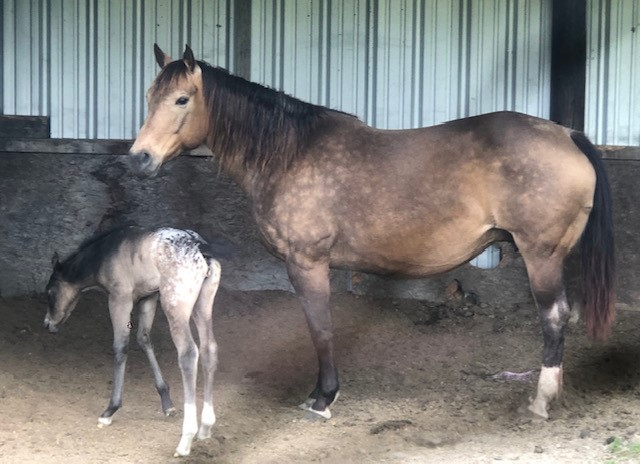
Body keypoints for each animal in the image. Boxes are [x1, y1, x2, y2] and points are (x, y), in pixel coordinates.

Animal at [44, 225, 221, 457]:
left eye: (49, 292)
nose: (48, 324)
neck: (102, 256)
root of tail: (201, 250)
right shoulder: (148, 297)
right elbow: (143, 338)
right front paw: (167, 403)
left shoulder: (120, 297)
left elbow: (120, 346)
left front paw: (110, 410)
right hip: (203, 303)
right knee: (209, 348)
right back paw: (206, 428)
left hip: (175, 303)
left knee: (189, 353)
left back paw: (185, 441)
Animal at [128, 44, 615, 421]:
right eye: (150, 95)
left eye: (182, 99)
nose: (139, 158)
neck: (289, 153)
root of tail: (568, 135)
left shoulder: (306, 263)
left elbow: (320, 327)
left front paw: (323, 397)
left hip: (541, 255)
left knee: (554, 317)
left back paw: (541, 402)